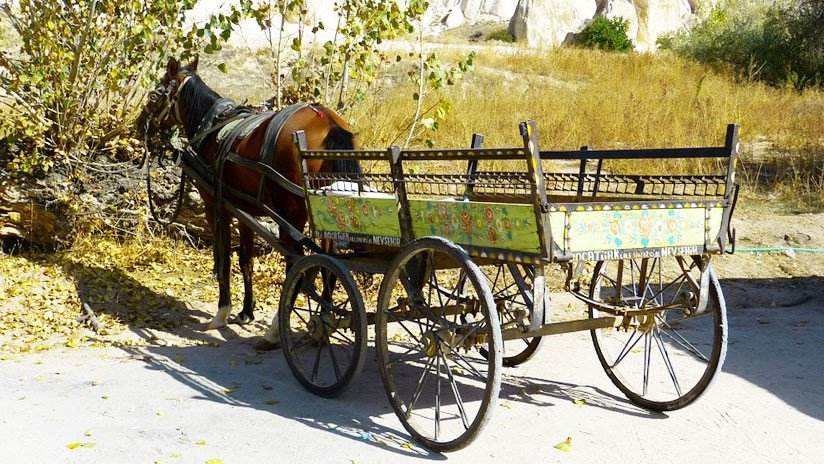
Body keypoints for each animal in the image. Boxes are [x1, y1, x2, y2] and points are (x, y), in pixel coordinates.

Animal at [137, 57, 358, 348]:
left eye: (155, 94)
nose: (139, 124)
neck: (213, 126)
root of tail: (329, 123)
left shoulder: (216, 206)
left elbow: (223, 258)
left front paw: (222, 312)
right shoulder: (244, 211)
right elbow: (246, 260)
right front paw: (246, 311)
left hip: (291, 217)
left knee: (297, 264)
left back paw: (276, 330)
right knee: (330, 265)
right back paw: (325, 320)